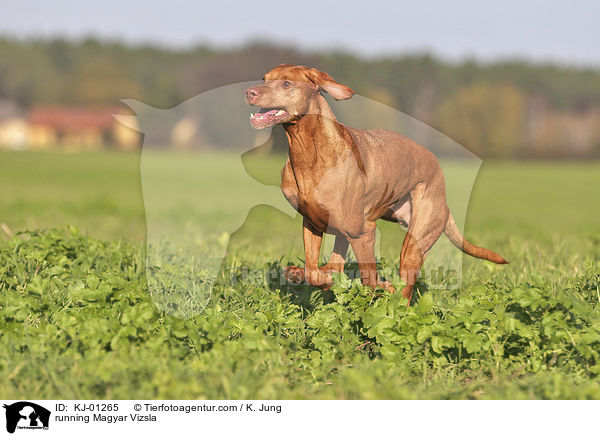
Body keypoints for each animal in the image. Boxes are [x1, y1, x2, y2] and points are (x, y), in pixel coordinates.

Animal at [244, 64, 506, 304]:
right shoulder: (312, 224)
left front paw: (376, 289)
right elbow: (313, 271)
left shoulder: (364, 233)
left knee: (404, 290)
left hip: (414, 241)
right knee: (336, 265)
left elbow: (368, 279)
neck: (309, 152)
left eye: (287, 83)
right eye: (264, 79)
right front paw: (308, 275)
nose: (249, 92)